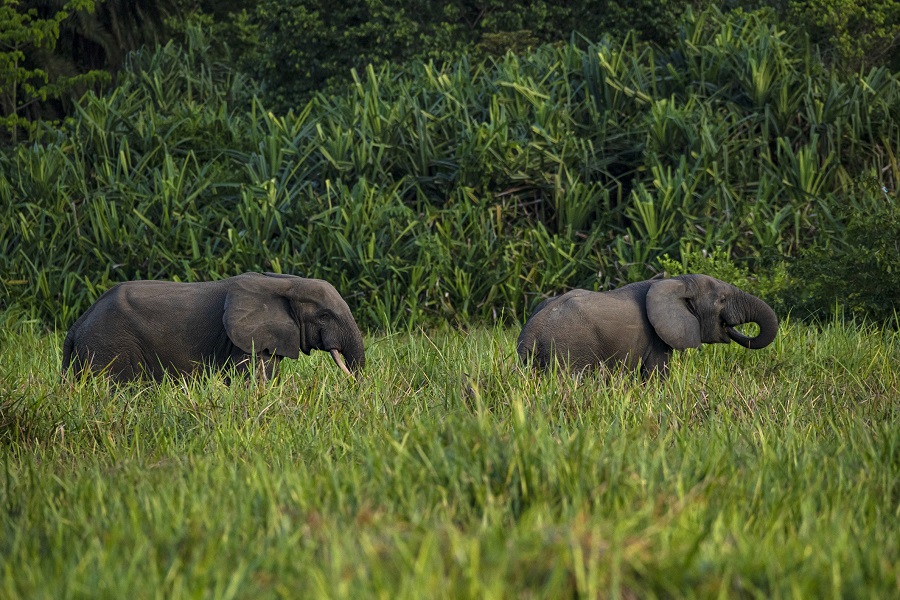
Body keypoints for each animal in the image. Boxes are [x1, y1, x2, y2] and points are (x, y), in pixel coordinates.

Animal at [516, 274, 776, 378]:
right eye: (721, 299)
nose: (728, 327)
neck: (677, 282)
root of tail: (532, 330)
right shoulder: (656, 339)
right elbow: (656, 376)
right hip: (569, 350)